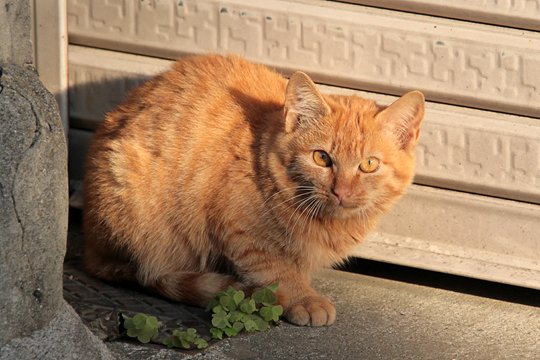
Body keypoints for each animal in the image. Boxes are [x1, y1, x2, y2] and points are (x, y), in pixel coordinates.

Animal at [82, 54, 424, 326]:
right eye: (321, 158)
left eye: (368, 164)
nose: (340, 191)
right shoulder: (241, 230)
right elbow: (276, 269)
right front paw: (303, 299)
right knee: (145, 273)